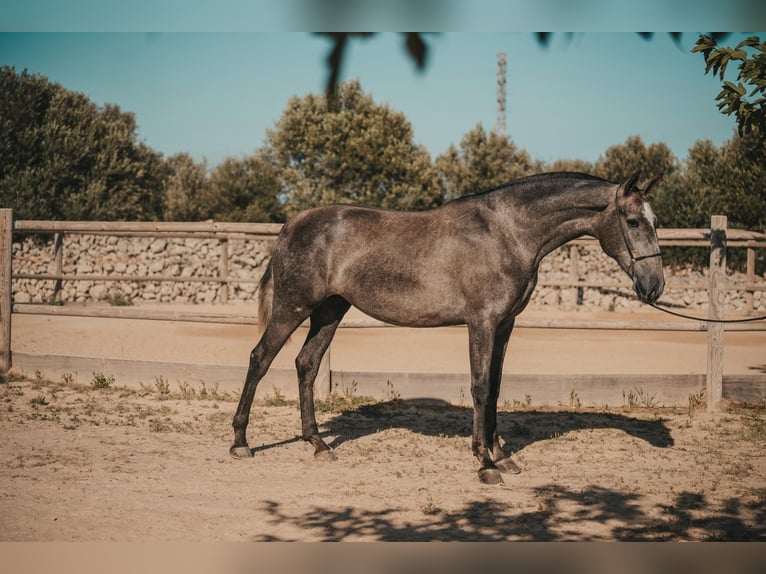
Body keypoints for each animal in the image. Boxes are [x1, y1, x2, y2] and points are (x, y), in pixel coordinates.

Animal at [230, 172, 664, 486]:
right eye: (633, 221)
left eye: (654, 221)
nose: (654, 285)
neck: (508, 232)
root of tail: (292, 223)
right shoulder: (481, 322)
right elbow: (480, 387)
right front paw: (485, 464)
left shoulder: (504, 326)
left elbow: (496, 389)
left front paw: (503, 456)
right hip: (293, 307)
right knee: (259, 359)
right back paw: (240, 442)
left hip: (330, 311)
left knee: (306, 364)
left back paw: (318, 444)